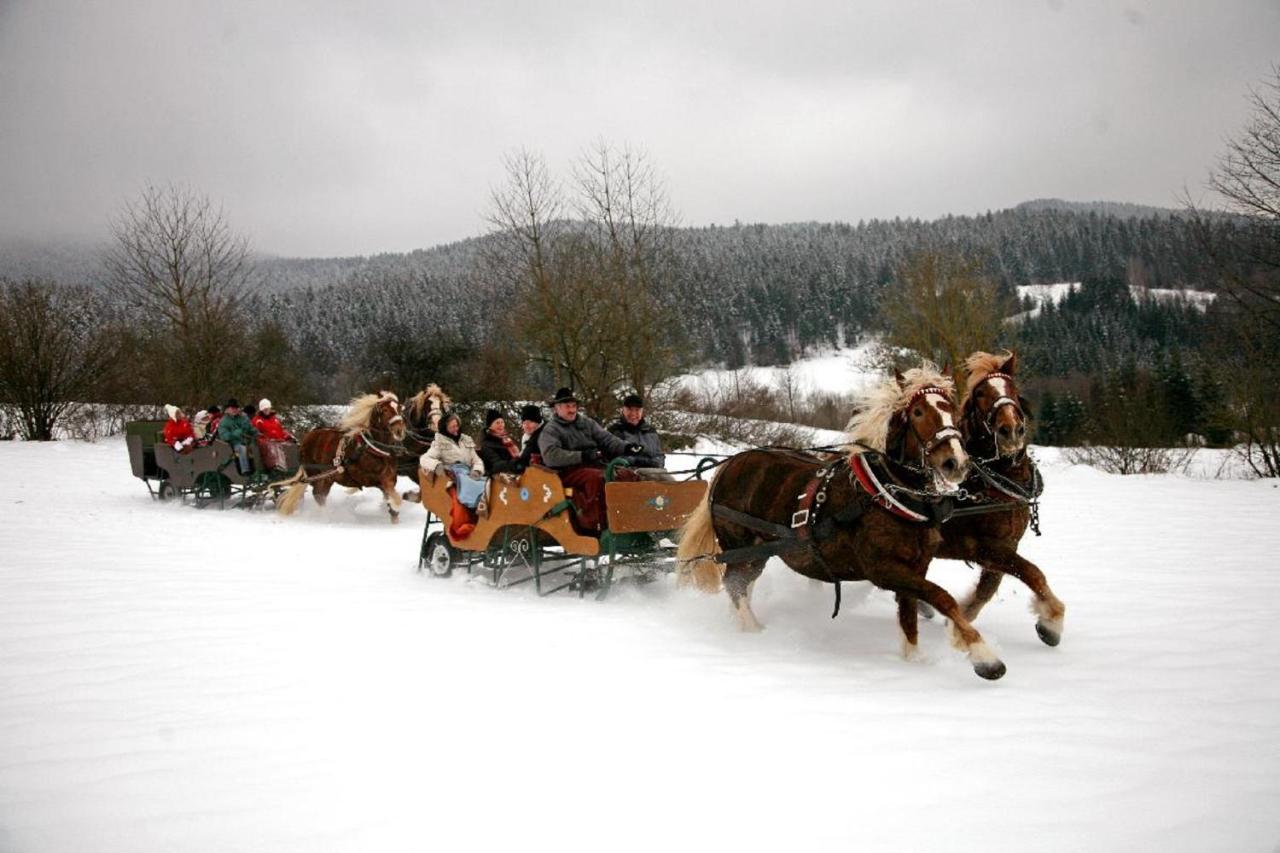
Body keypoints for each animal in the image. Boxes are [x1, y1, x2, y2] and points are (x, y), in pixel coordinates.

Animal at [273, 389, 404, 517]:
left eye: (399, 408)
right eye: (384, 410)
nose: (399, 430)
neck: (372, 449)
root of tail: (307, 437)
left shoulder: (391, 478)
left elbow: (391, 499)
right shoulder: (369, 478)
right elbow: (392, 495)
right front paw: (395, 505)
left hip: (326, 477)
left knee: (319, 494)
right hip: (317, 475)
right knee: (318, 494)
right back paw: (326, 515)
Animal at [675, 363, 1013, 676]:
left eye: (951, 409)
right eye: (917, 412)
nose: (956, 462)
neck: (888, 492)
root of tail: (729, 465)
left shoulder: (915, 566)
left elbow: (909, 617)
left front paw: (914, 661)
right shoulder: (883, 569)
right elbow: (942, 597)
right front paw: (985, 657)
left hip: (757, 551)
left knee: (742, 584)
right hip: (739, 544)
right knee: (734, 584)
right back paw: (753, 631)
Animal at [936, 350, 1064, 645]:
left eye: (1012, 389)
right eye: (980, 393)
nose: (1011, 430)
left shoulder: (1006, 546)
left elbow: (985, 591)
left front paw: (957, 625)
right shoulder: (988, 548)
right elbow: (1033, 573)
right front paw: (1052, 622)